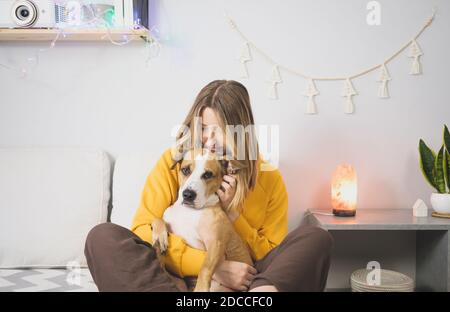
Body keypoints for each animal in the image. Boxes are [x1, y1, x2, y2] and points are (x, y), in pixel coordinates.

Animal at [151, 147, 253, 292]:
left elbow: (205, 267)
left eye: (207, 175)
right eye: (185, 170)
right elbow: (157, 219)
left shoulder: (215, 243)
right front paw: (160, 237)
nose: (188, 195)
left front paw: (201, 288)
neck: (189, 212)